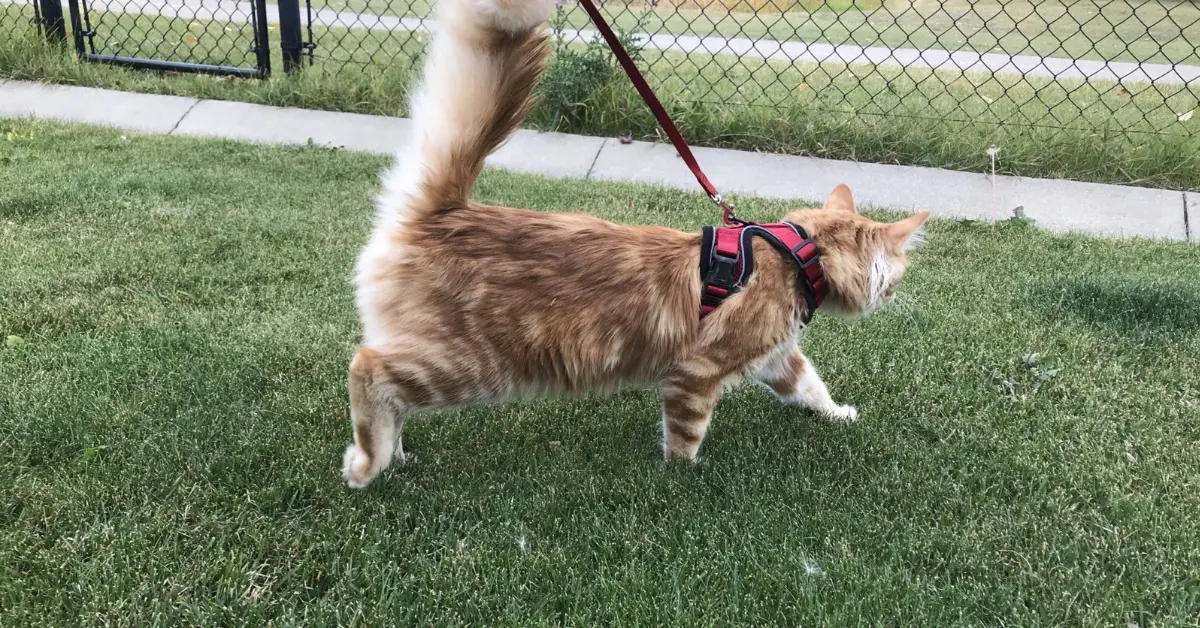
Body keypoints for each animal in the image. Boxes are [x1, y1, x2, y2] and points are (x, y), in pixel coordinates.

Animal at [343, 0, 931, 489]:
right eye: (898, 276)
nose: (898, 294)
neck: (794, 255)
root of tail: (445, 211)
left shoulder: (777, 356)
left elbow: (811, 386)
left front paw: (836, 413)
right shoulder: (698, 370)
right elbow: (686, 434)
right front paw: (686, 474)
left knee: (391, 393)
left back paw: (395, 457)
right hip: (475, 363)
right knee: (368, 371)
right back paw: (367, 464)